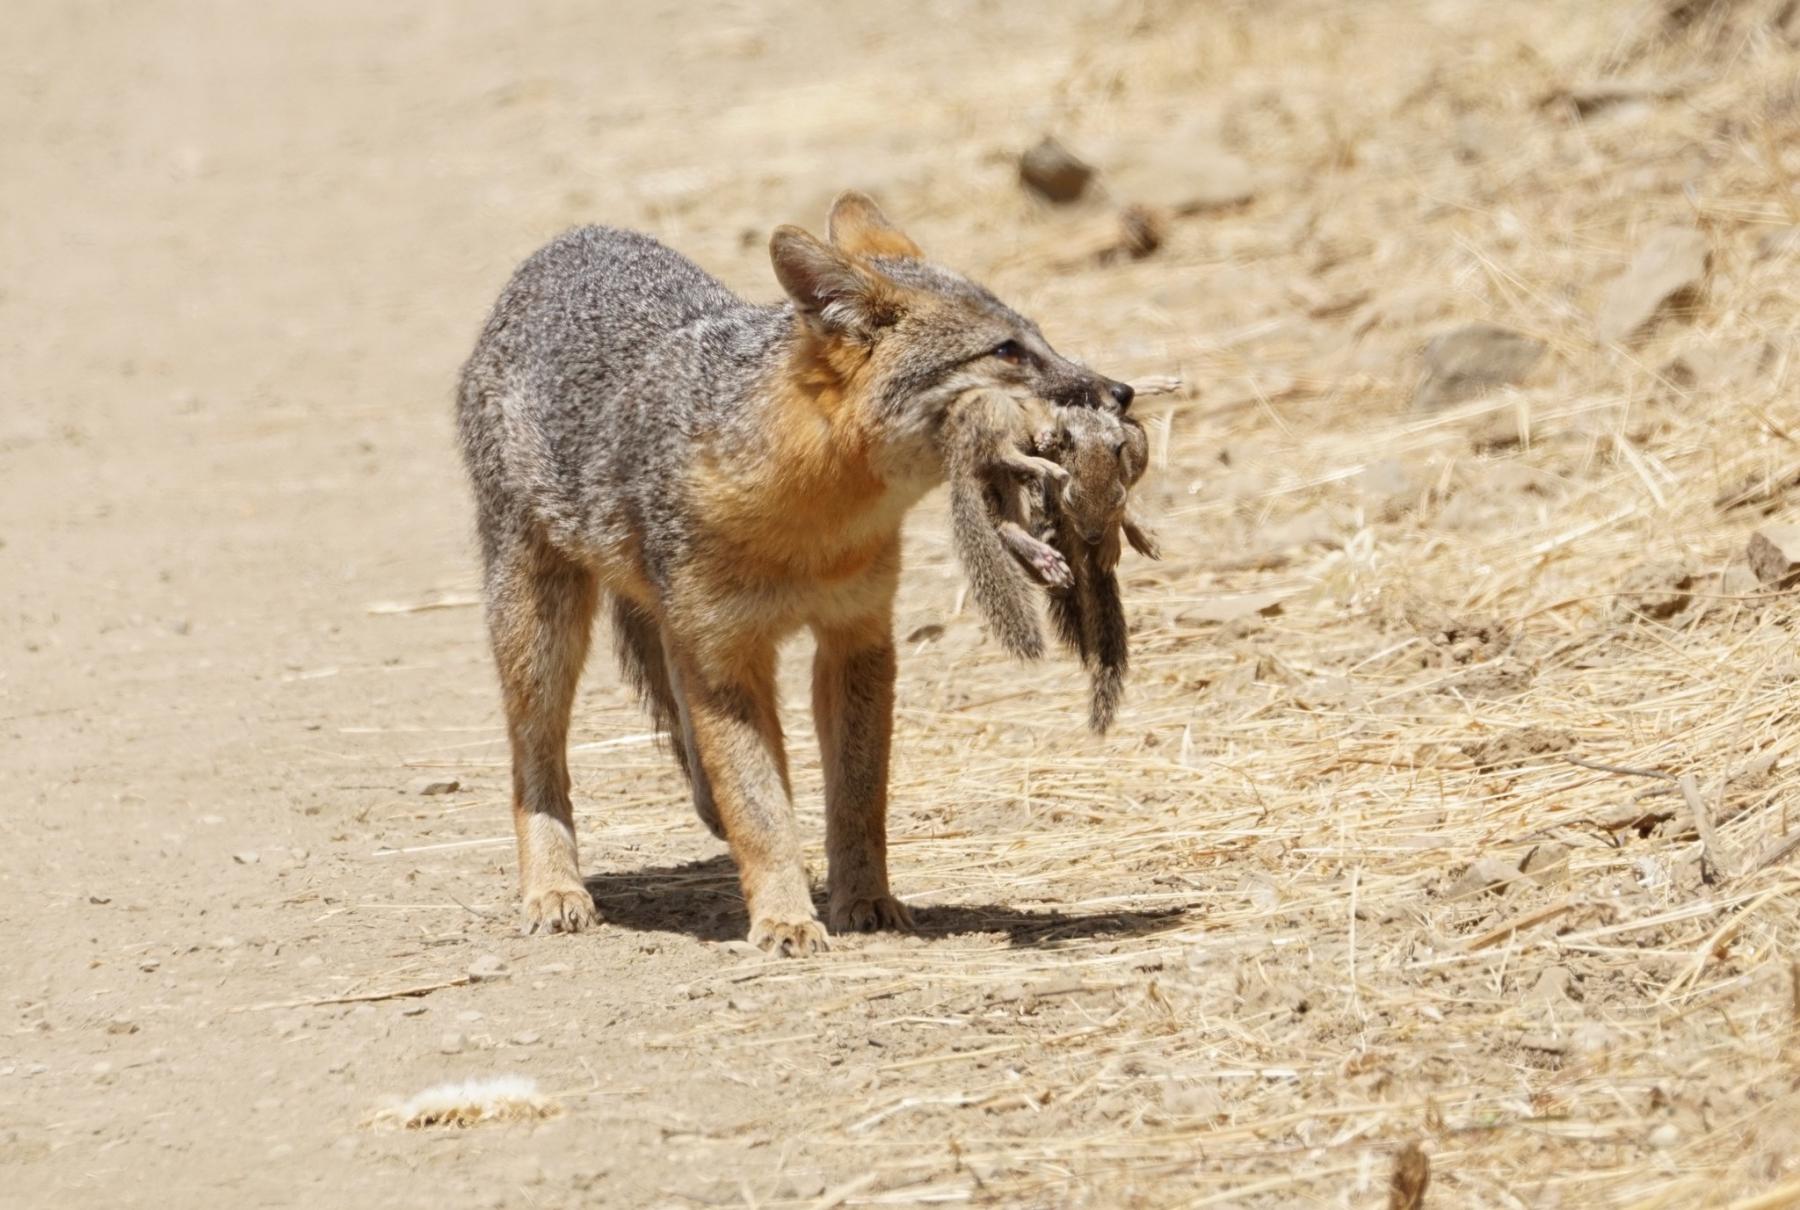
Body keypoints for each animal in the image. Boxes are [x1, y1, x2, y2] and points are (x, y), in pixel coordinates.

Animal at [456, 192, 1135, 955]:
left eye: (1038, 337)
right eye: (1007, 350)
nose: (1122, 392)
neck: (814, 527)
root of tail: (575, 240)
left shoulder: (857, 639)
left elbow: (859, 798)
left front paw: (866, 901)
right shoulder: (726, 658)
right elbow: (760, 805)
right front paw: (784, 916)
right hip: (541, 631)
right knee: (533, 763)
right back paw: (554, 889)